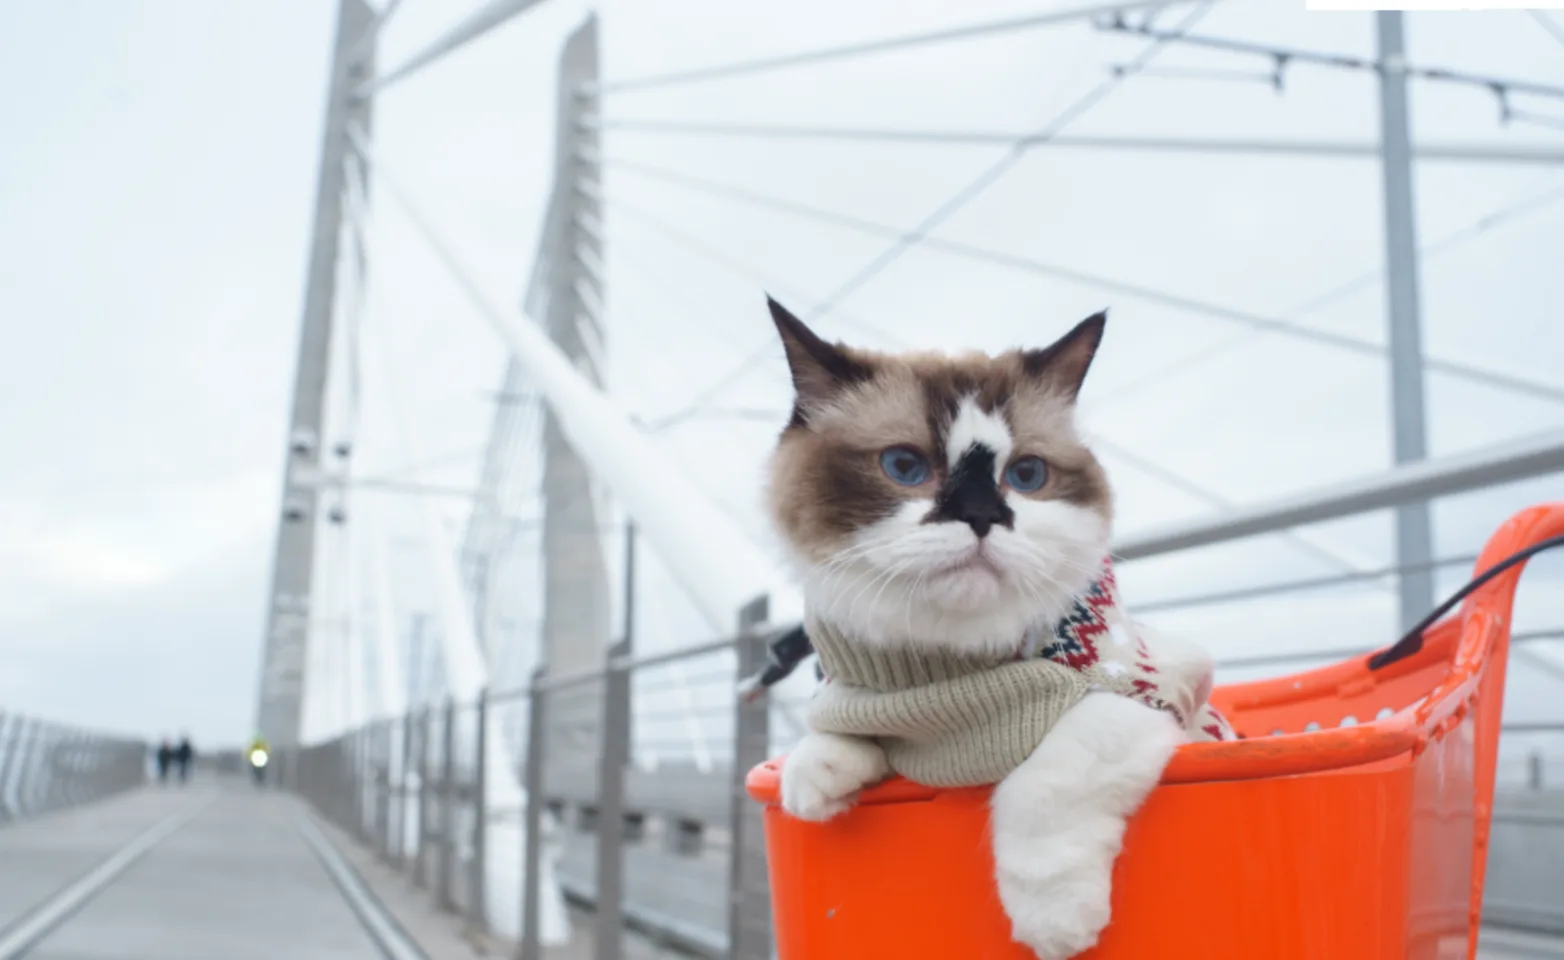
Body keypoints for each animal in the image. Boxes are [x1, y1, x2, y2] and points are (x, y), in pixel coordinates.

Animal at [763, 297, 1226, 956]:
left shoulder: (1151, 695)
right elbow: (835, 729)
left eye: (1027, 475)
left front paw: (1054, 922)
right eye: (904, 466)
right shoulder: (866, 696)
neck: (950, 674)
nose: (982, 516)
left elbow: (1045, 781)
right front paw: (815, 783)